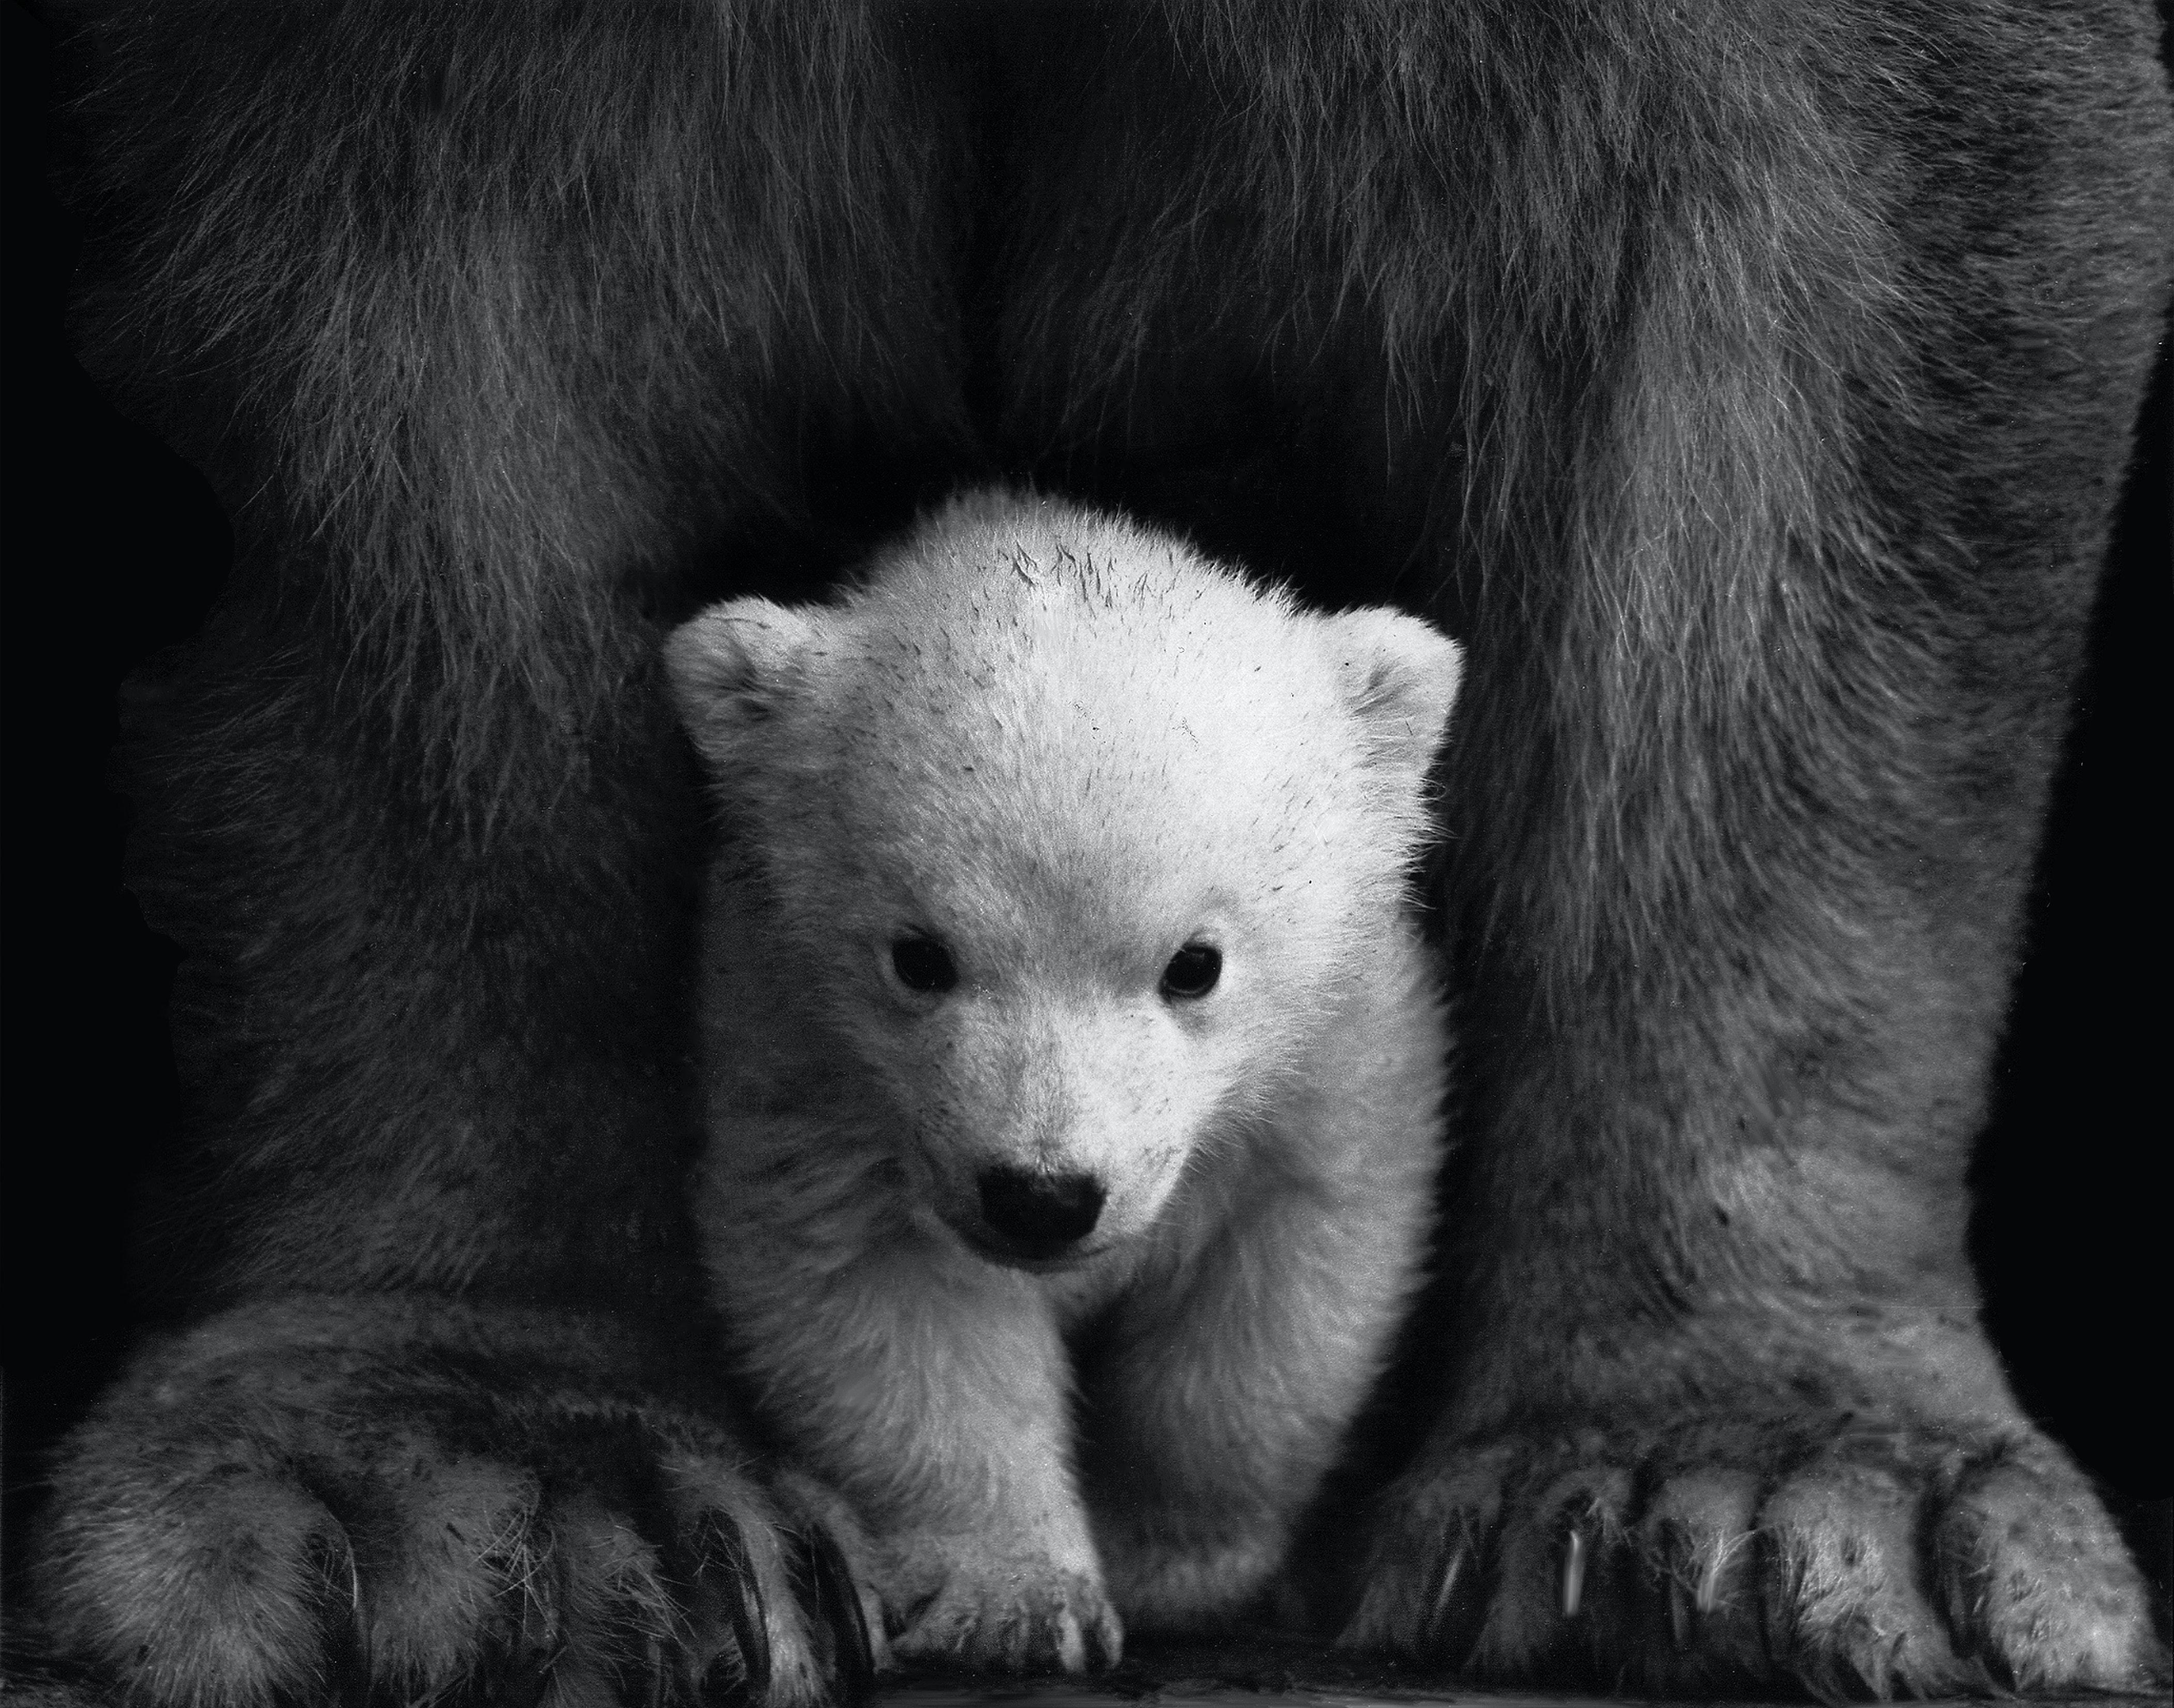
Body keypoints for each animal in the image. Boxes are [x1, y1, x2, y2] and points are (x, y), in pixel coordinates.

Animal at [663, 489, 1460, 1672]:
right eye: (919, 957)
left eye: (1195, 964)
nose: (1041, 1197)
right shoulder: (804, 1062)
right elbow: (887, 1301)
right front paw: (1018, 1600)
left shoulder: (1338, 1059)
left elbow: (1281, 1290)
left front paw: (1173, 1563)